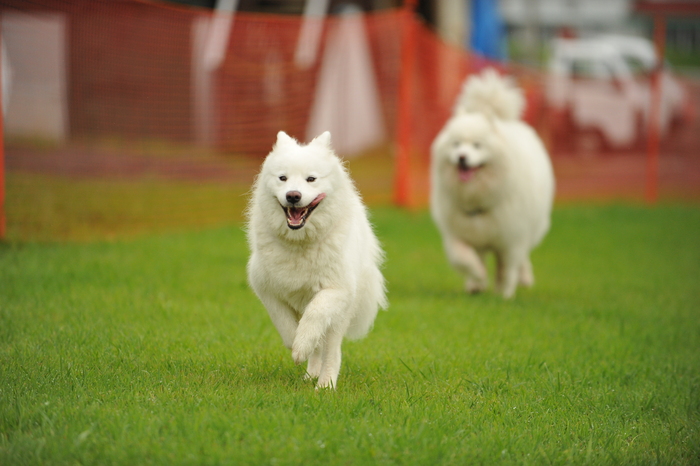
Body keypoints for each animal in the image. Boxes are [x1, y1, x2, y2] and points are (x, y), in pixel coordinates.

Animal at [246, 129, 388, 388]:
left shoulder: (336, 289)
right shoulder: (265, 287)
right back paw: (311, 373)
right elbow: (283, 320)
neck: (299, 243)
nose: (293, 196)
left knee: (331, 350)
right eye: (282, 178)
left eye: (311, 179)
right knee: (318, 348)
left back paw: (325, 384)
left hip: (340, 316)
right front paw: (296, 343)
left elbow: (315, 314)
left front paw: (302, 345)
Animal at [430, 69, 556, 298]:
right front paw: (477, 277)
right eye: (456, 144)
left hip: (530, 228)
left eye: (477, 145)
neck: (477, 197)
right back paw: (476, 284)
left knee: (522, 257)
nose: (462, 158)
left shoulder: (511, 239)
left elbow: (507, 268)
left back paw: (523, 278)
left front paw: (504, 293)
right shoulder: (458, 233)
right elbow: (464, 258)